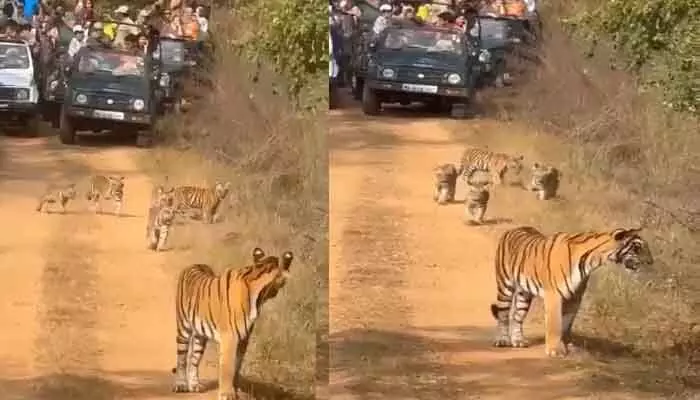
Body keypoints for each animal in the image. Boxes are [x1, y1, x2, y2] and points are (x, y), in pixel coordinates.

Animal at [172, 247, 294, 400]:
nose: (276, 292)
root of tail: (195, 264)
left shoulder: (244, 339)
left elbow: (237, 366)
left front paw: (235, 389)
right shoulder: (230, 337)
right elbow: (228, 367)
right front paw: (227, 393)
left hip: (201, 336)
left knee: (194, 359)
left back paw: (194, 385)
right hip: (183, 328)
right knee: (181, 359)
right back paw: (181, 384)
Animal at [491, 226, 653, 357]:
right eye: (637, 248)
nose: (651, 262)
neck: (591, 261)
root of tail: (512, 229)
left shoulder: (575, 297)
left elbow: (567, 324)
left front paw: (567, 345)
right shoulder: (554, 295)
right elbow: (555, 324)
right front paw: (555, 350)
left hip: (524, 294)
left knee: (517, 316)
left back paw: (518, 341)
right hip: (505, 287)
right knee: (503, 315)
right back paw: (503, 340)